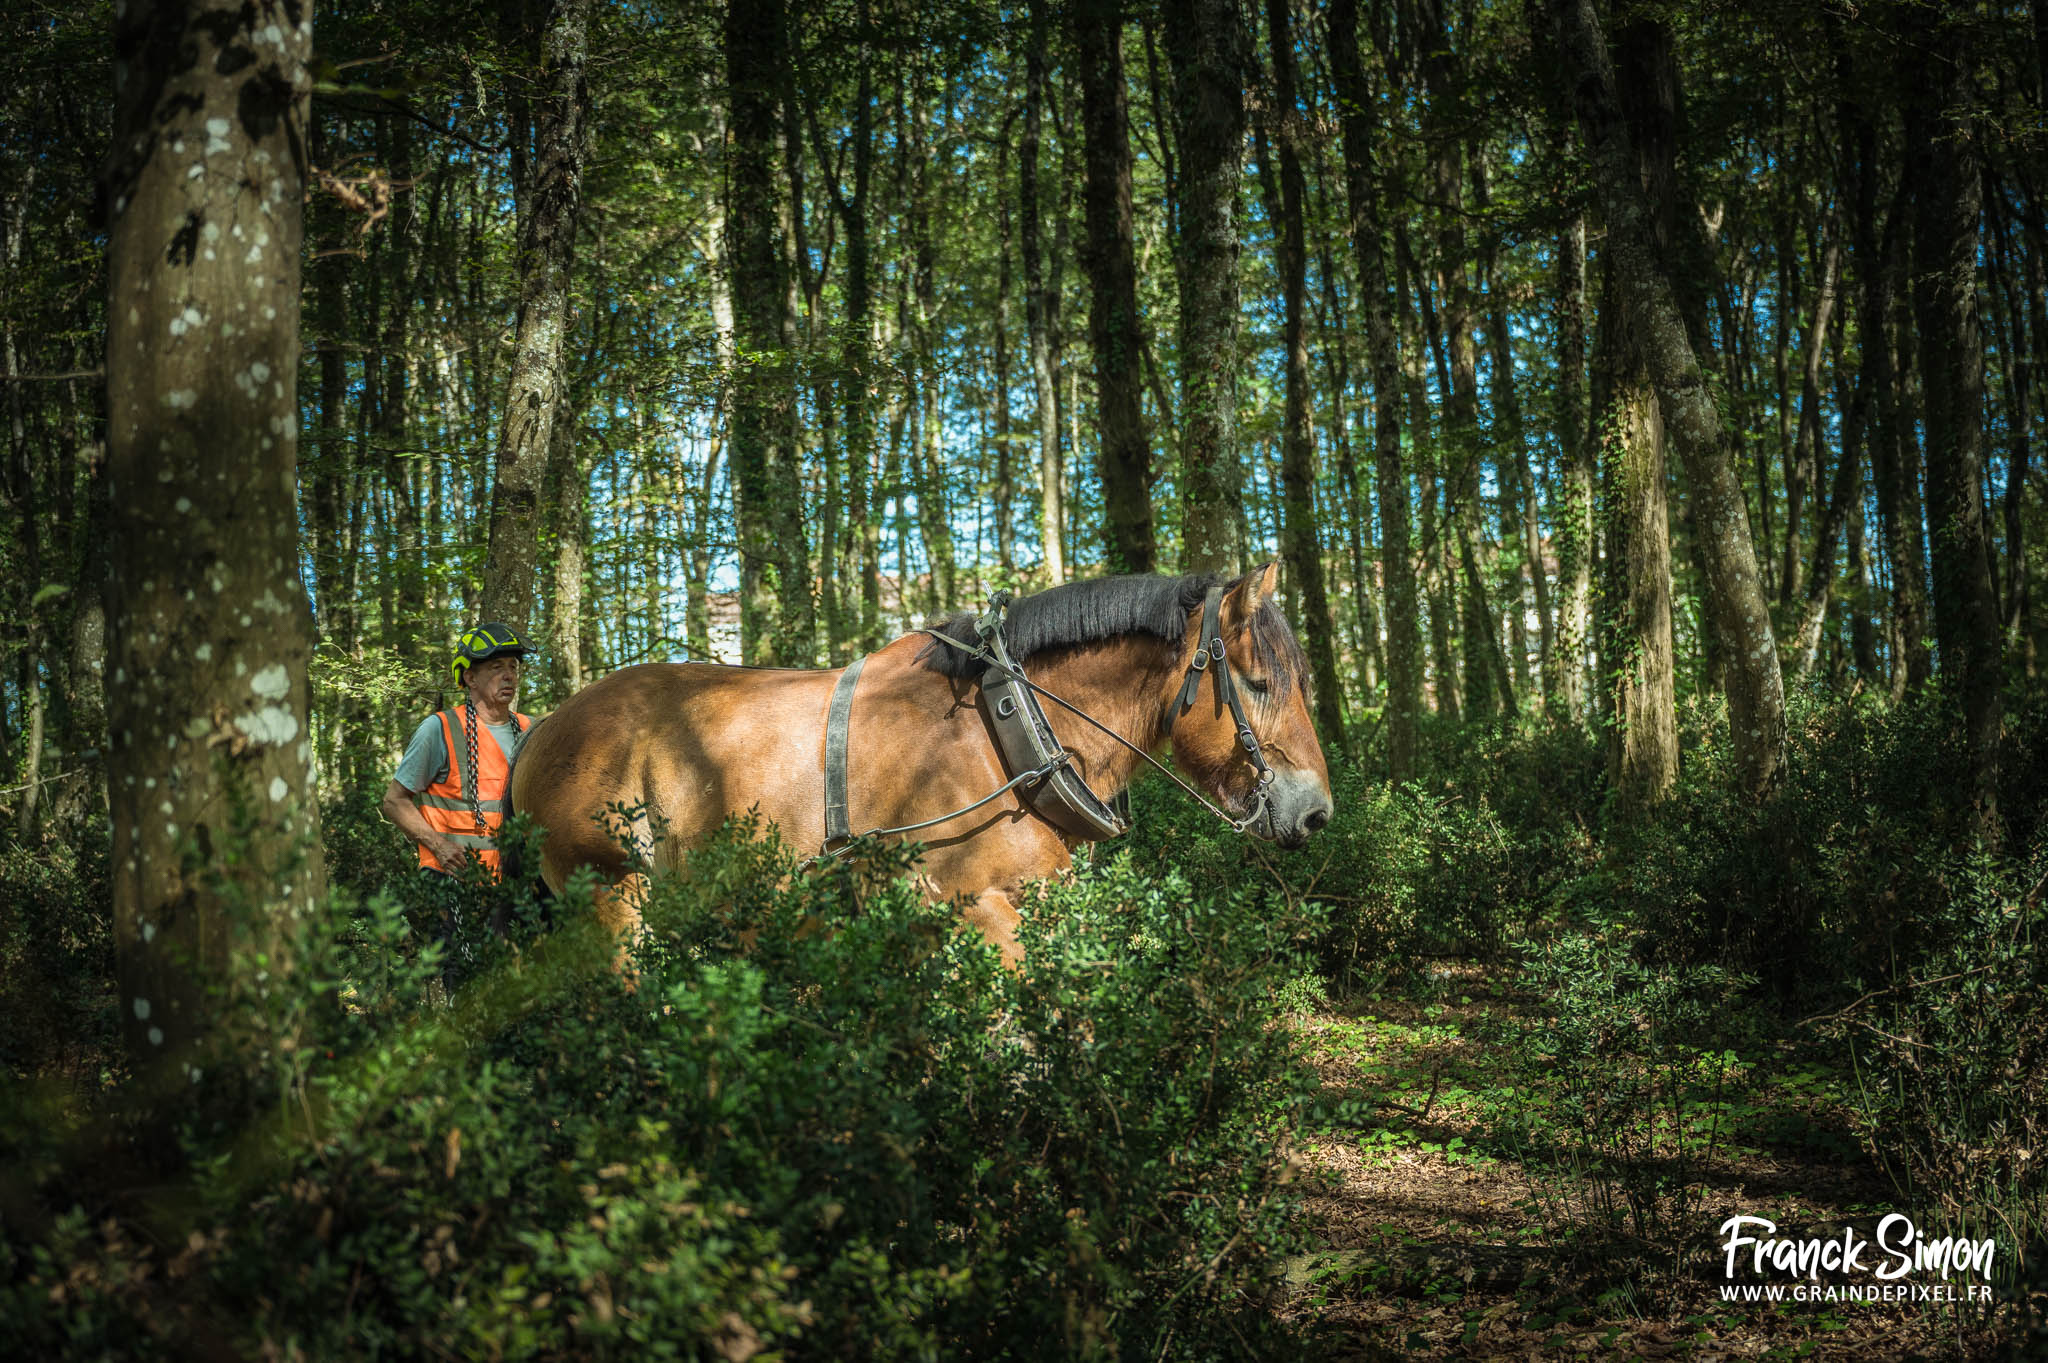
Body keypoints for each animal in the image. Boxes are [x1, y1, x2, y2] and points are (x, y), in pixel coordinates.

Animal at [509, 562, 1336, 965]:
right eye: (1257, 683)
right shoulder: (966, 904)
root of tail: (542, 728)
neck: (1002, 734)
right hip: (612, 895)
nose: (1317, 812)